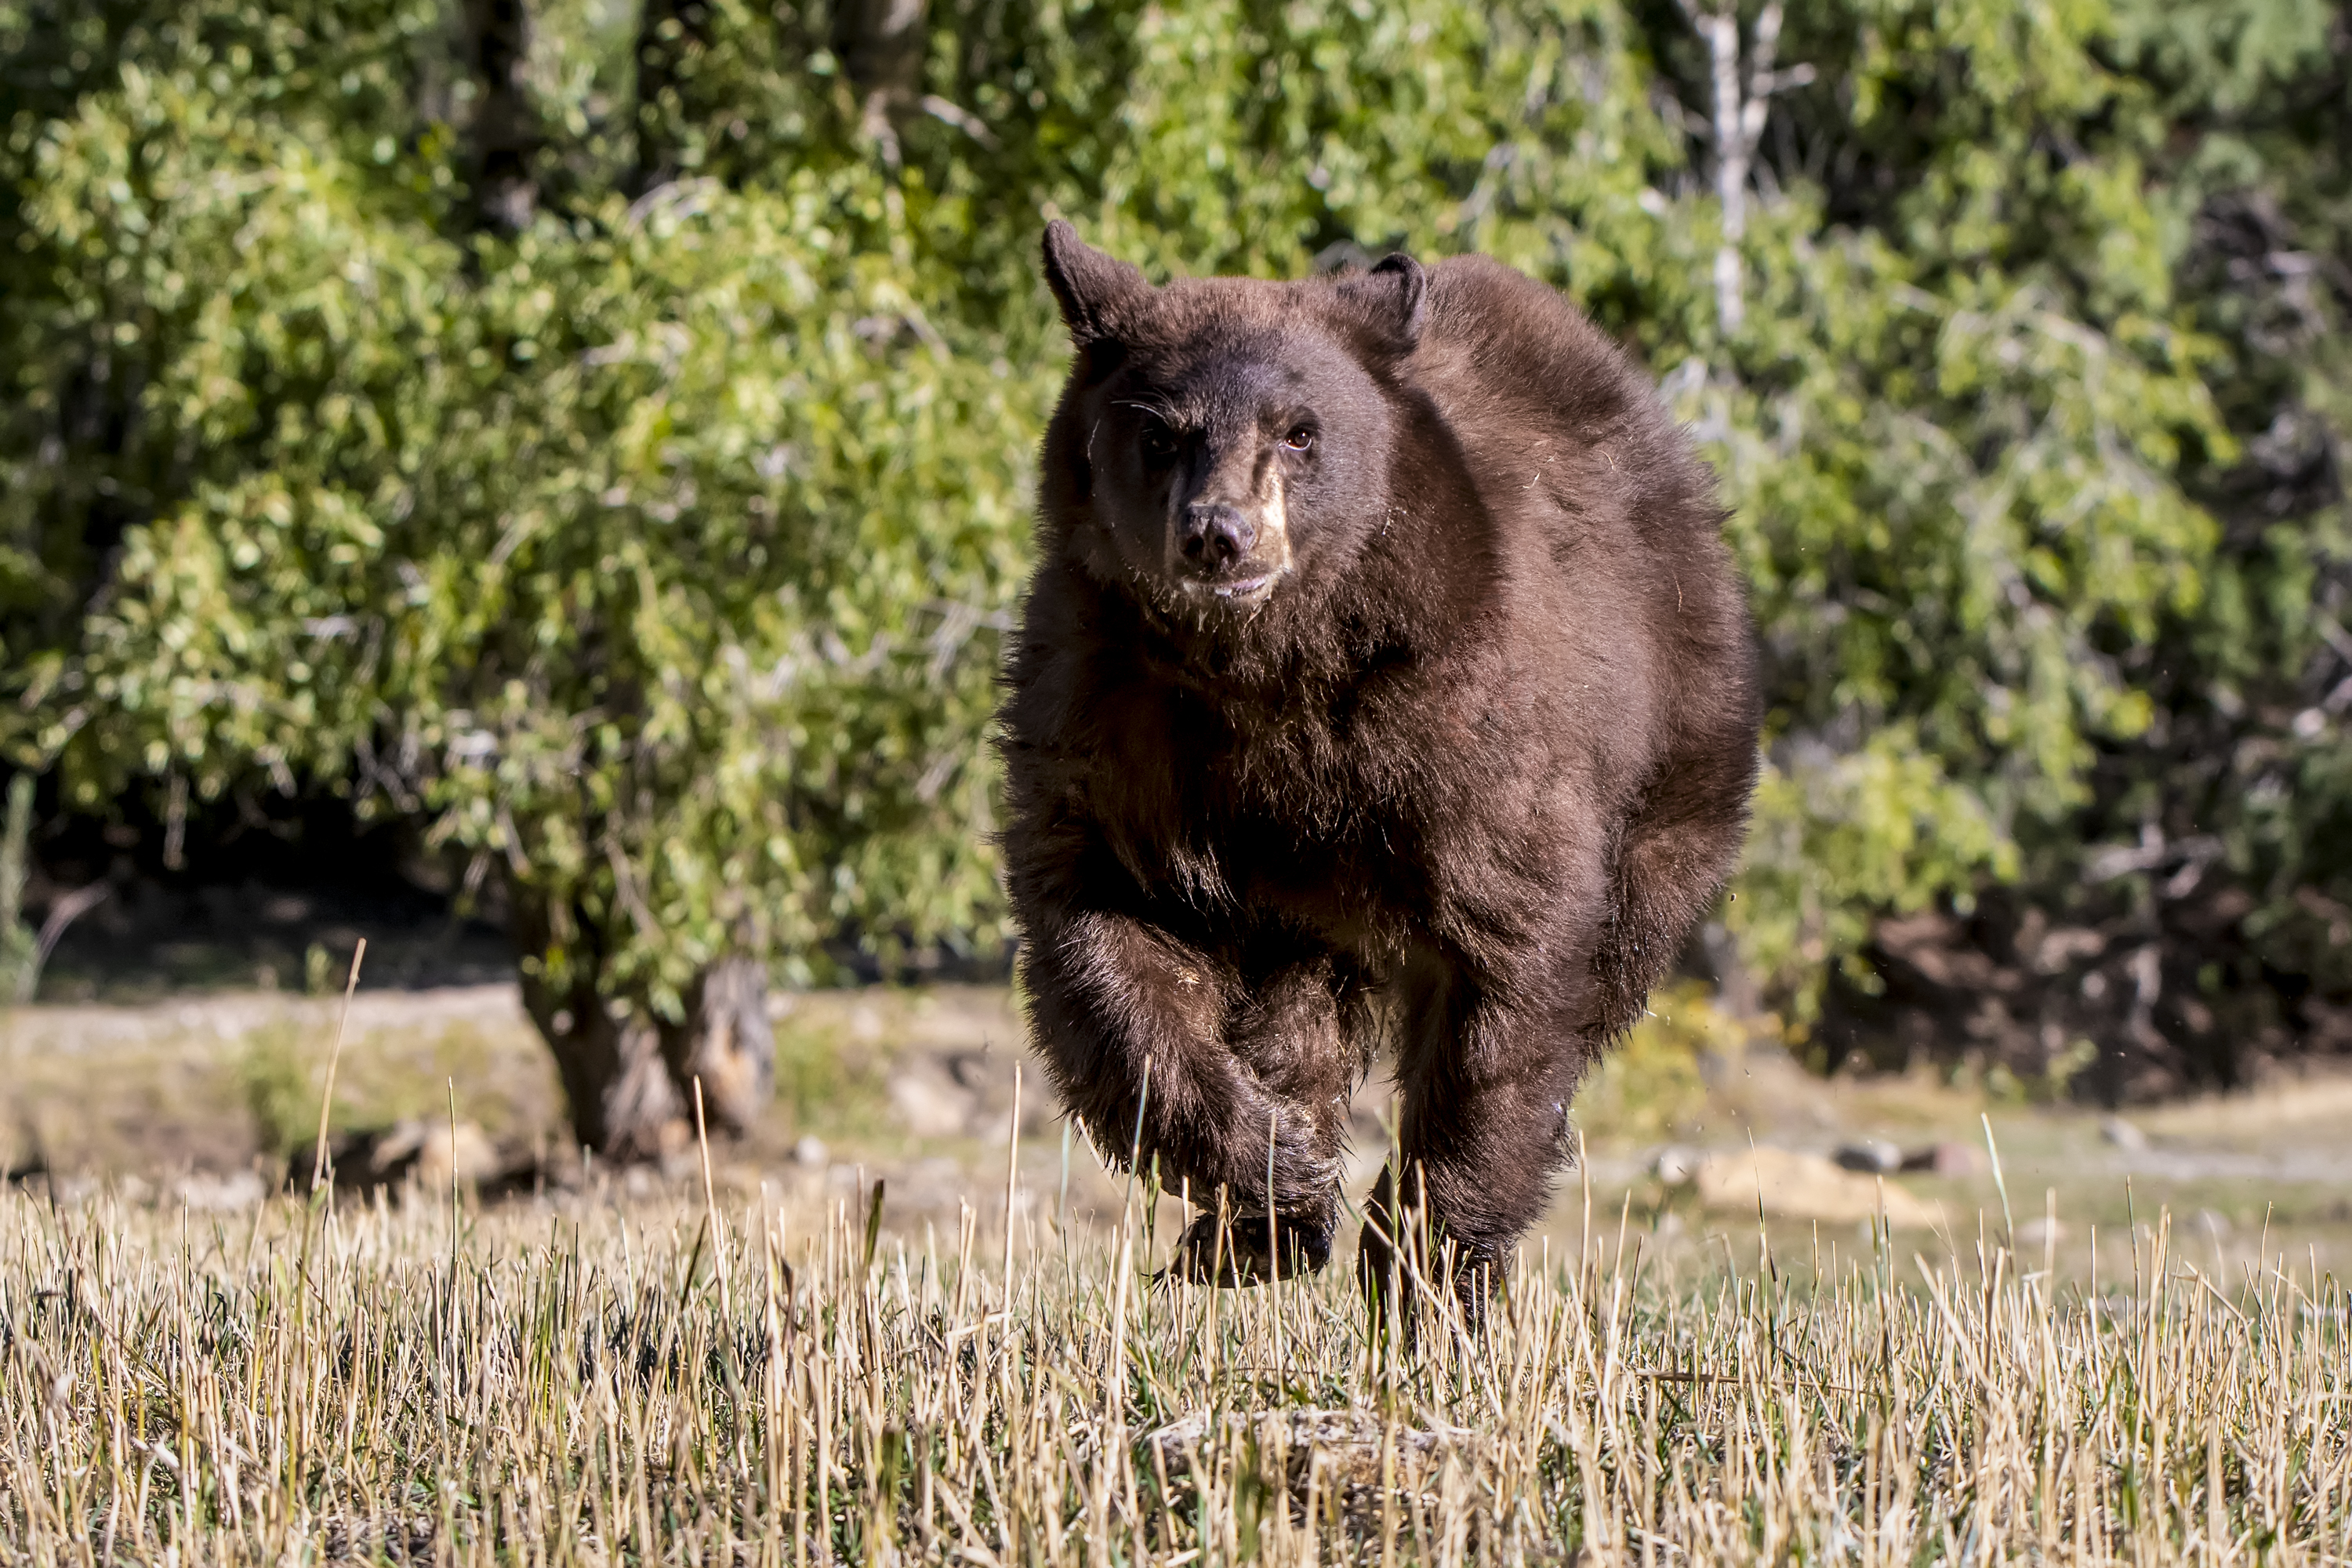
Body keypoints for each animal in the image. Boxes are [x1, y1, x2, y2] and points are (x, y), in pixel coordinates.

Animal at [997, 220, 1769, 1316]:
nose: (1218, 533)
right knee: (1297, 1013)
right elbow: (1106, 936)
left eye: (1300, 430)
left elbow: (1507, 962)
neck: (1262, 674)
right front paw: (1274, 1175)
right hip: (1307, 912)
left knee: (1606, 956)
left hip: (1675, 762)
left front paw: (1426, 1265)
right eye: (1160, 434)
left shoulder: (1455, 725)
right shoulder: (1116, 718)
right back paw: (1250, 1222)